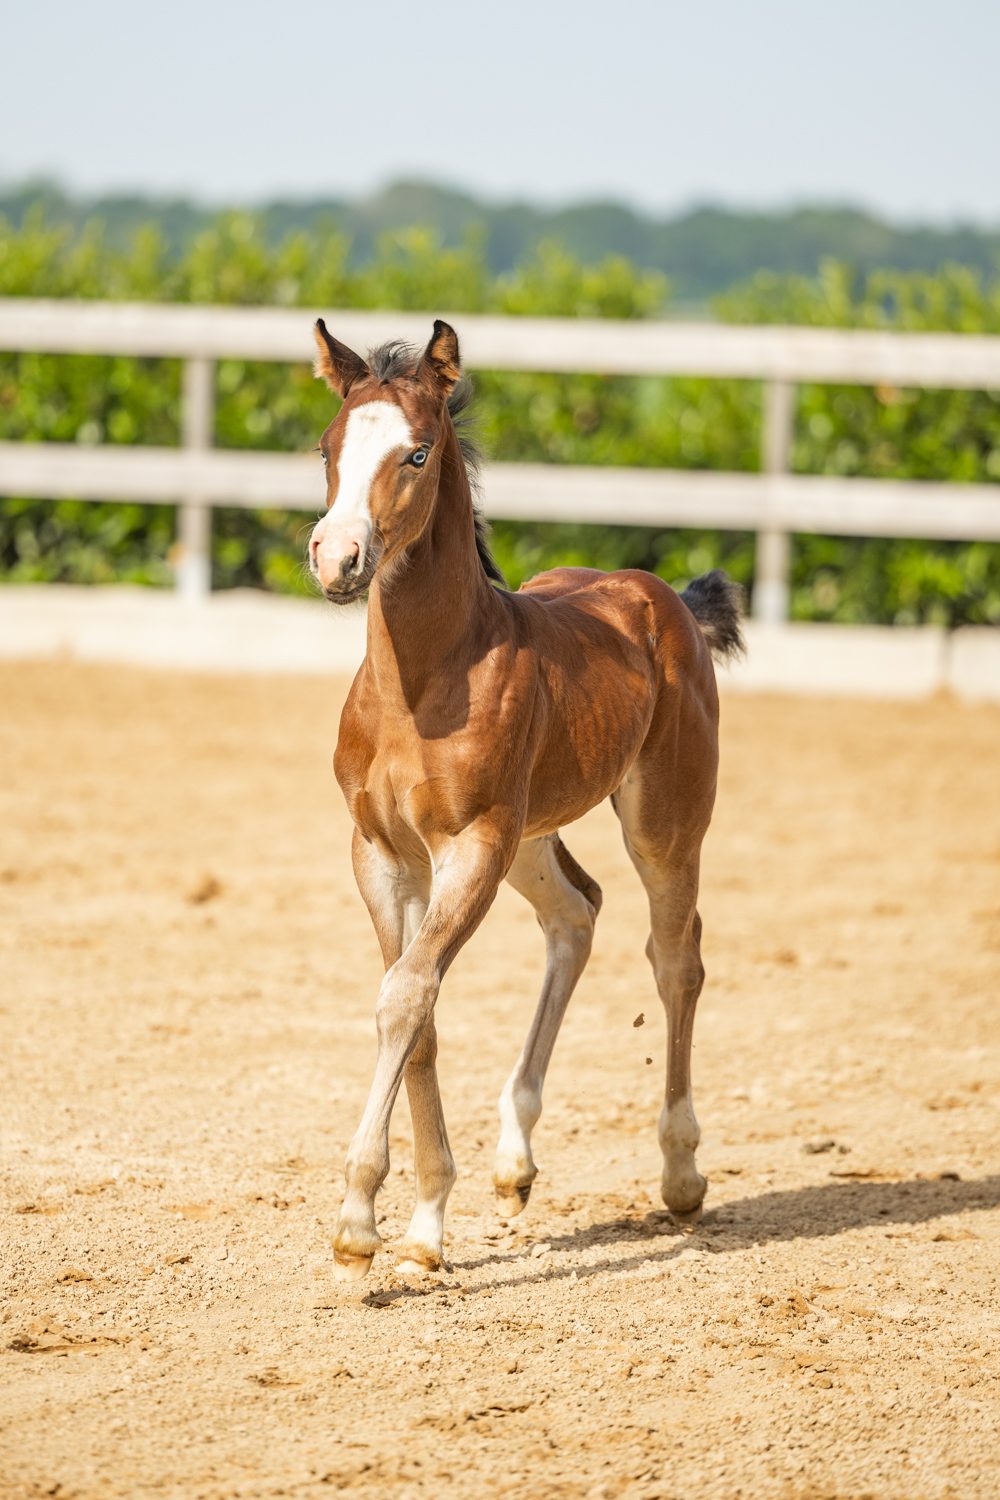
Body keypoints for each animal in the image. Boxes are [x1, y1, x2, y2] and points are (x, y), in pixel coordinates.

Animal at [307, 317, 744, 1280]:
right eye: (327, 446)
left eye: (417, 452)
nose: (338, 556)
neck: (423, 683)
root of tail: (664, 597)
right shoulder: (382, 854)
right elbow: (417, 1005)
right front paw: (427, 1226)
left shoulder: (470, 843)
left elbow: (406, 995)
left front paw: (361, 1221)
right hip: (534, 835)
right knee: (576, 913)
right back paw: (515, 1162)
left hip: (661, 823)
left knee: (676, 957)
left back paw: (681, 1173)